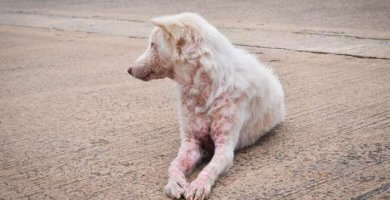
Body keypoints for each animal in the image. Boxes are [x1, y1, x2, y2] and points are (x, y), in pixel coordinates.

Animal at [128, 12, 286, 200]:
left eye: (152, 45)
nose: (129, 69)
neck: (203, 88)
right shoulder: (190, 143)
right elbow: (174, 164)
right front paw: (175, 183)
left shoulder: (225, 147)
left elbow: (210, 168)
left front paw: (198, 185)